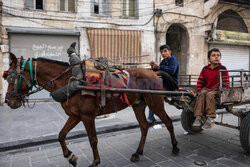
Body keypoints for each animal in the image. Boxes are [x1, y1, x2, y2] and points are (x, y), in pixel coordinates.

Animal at [3, 53, 180, 167]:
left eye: (12, 77)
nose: (8, 101)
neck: (70, 80)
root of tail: (153, 72)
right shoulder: (75, 116)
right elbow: (61, 135)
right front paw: (70, 157)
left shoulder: (87, 116)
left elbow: (93, 140)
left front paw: (95, 162)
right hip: (138, 104)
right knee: (144, 127)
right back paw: (137, 153)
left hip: (155, 103)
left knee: (168, 122)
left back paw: (175, 147)